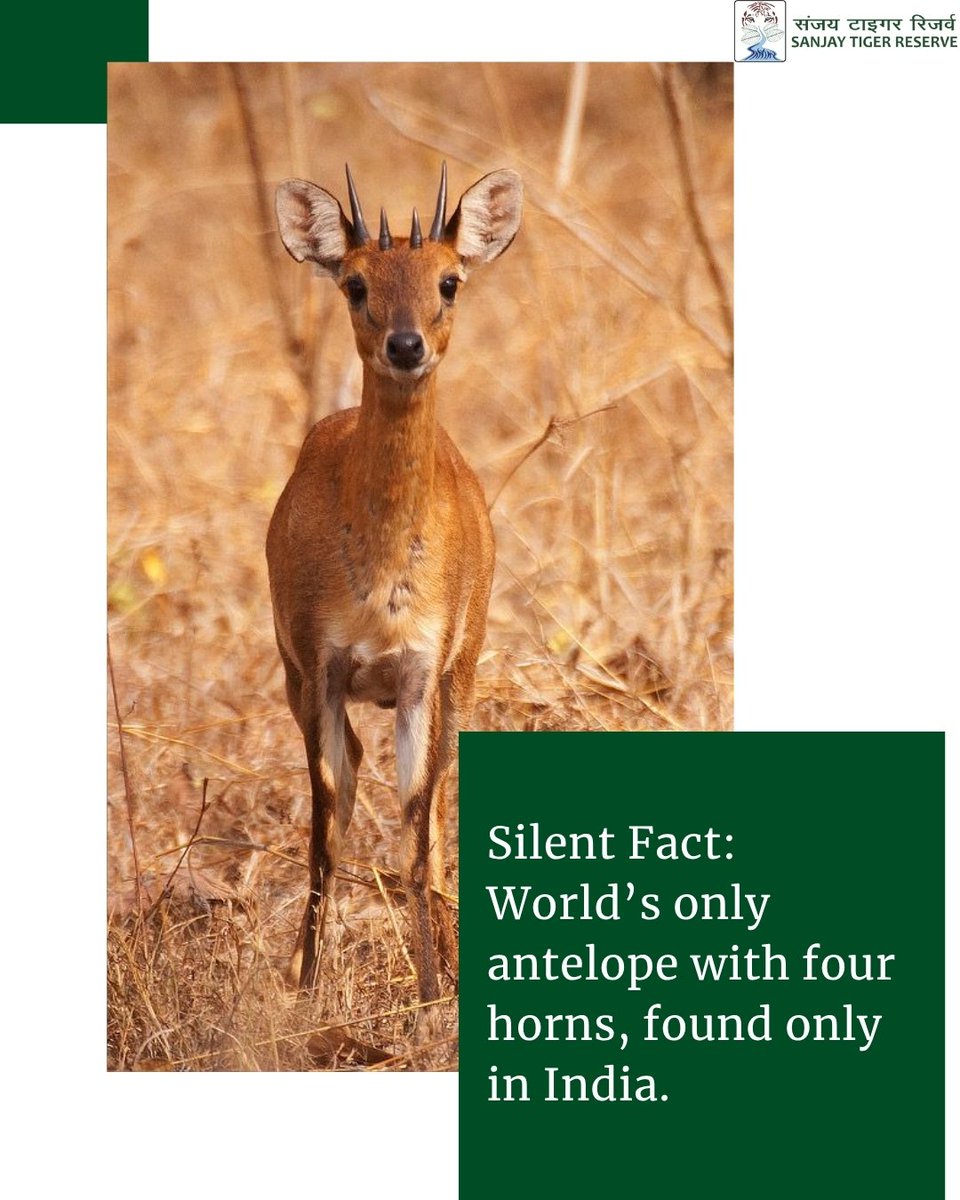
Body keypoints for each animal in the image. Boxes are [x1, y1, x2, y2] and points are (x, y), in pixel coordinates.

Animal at [268, 163, 523, 1030]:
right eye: (355, 282)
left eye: (449, 281)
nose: (405, 345)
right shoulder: (318, 668)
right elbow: (326, 826)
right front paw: (304, 989)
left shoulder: (422, 672)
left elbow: (416, 821)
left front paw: (430, 993)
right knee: (347, 792)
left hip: (463, 673)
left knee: (435, 809)